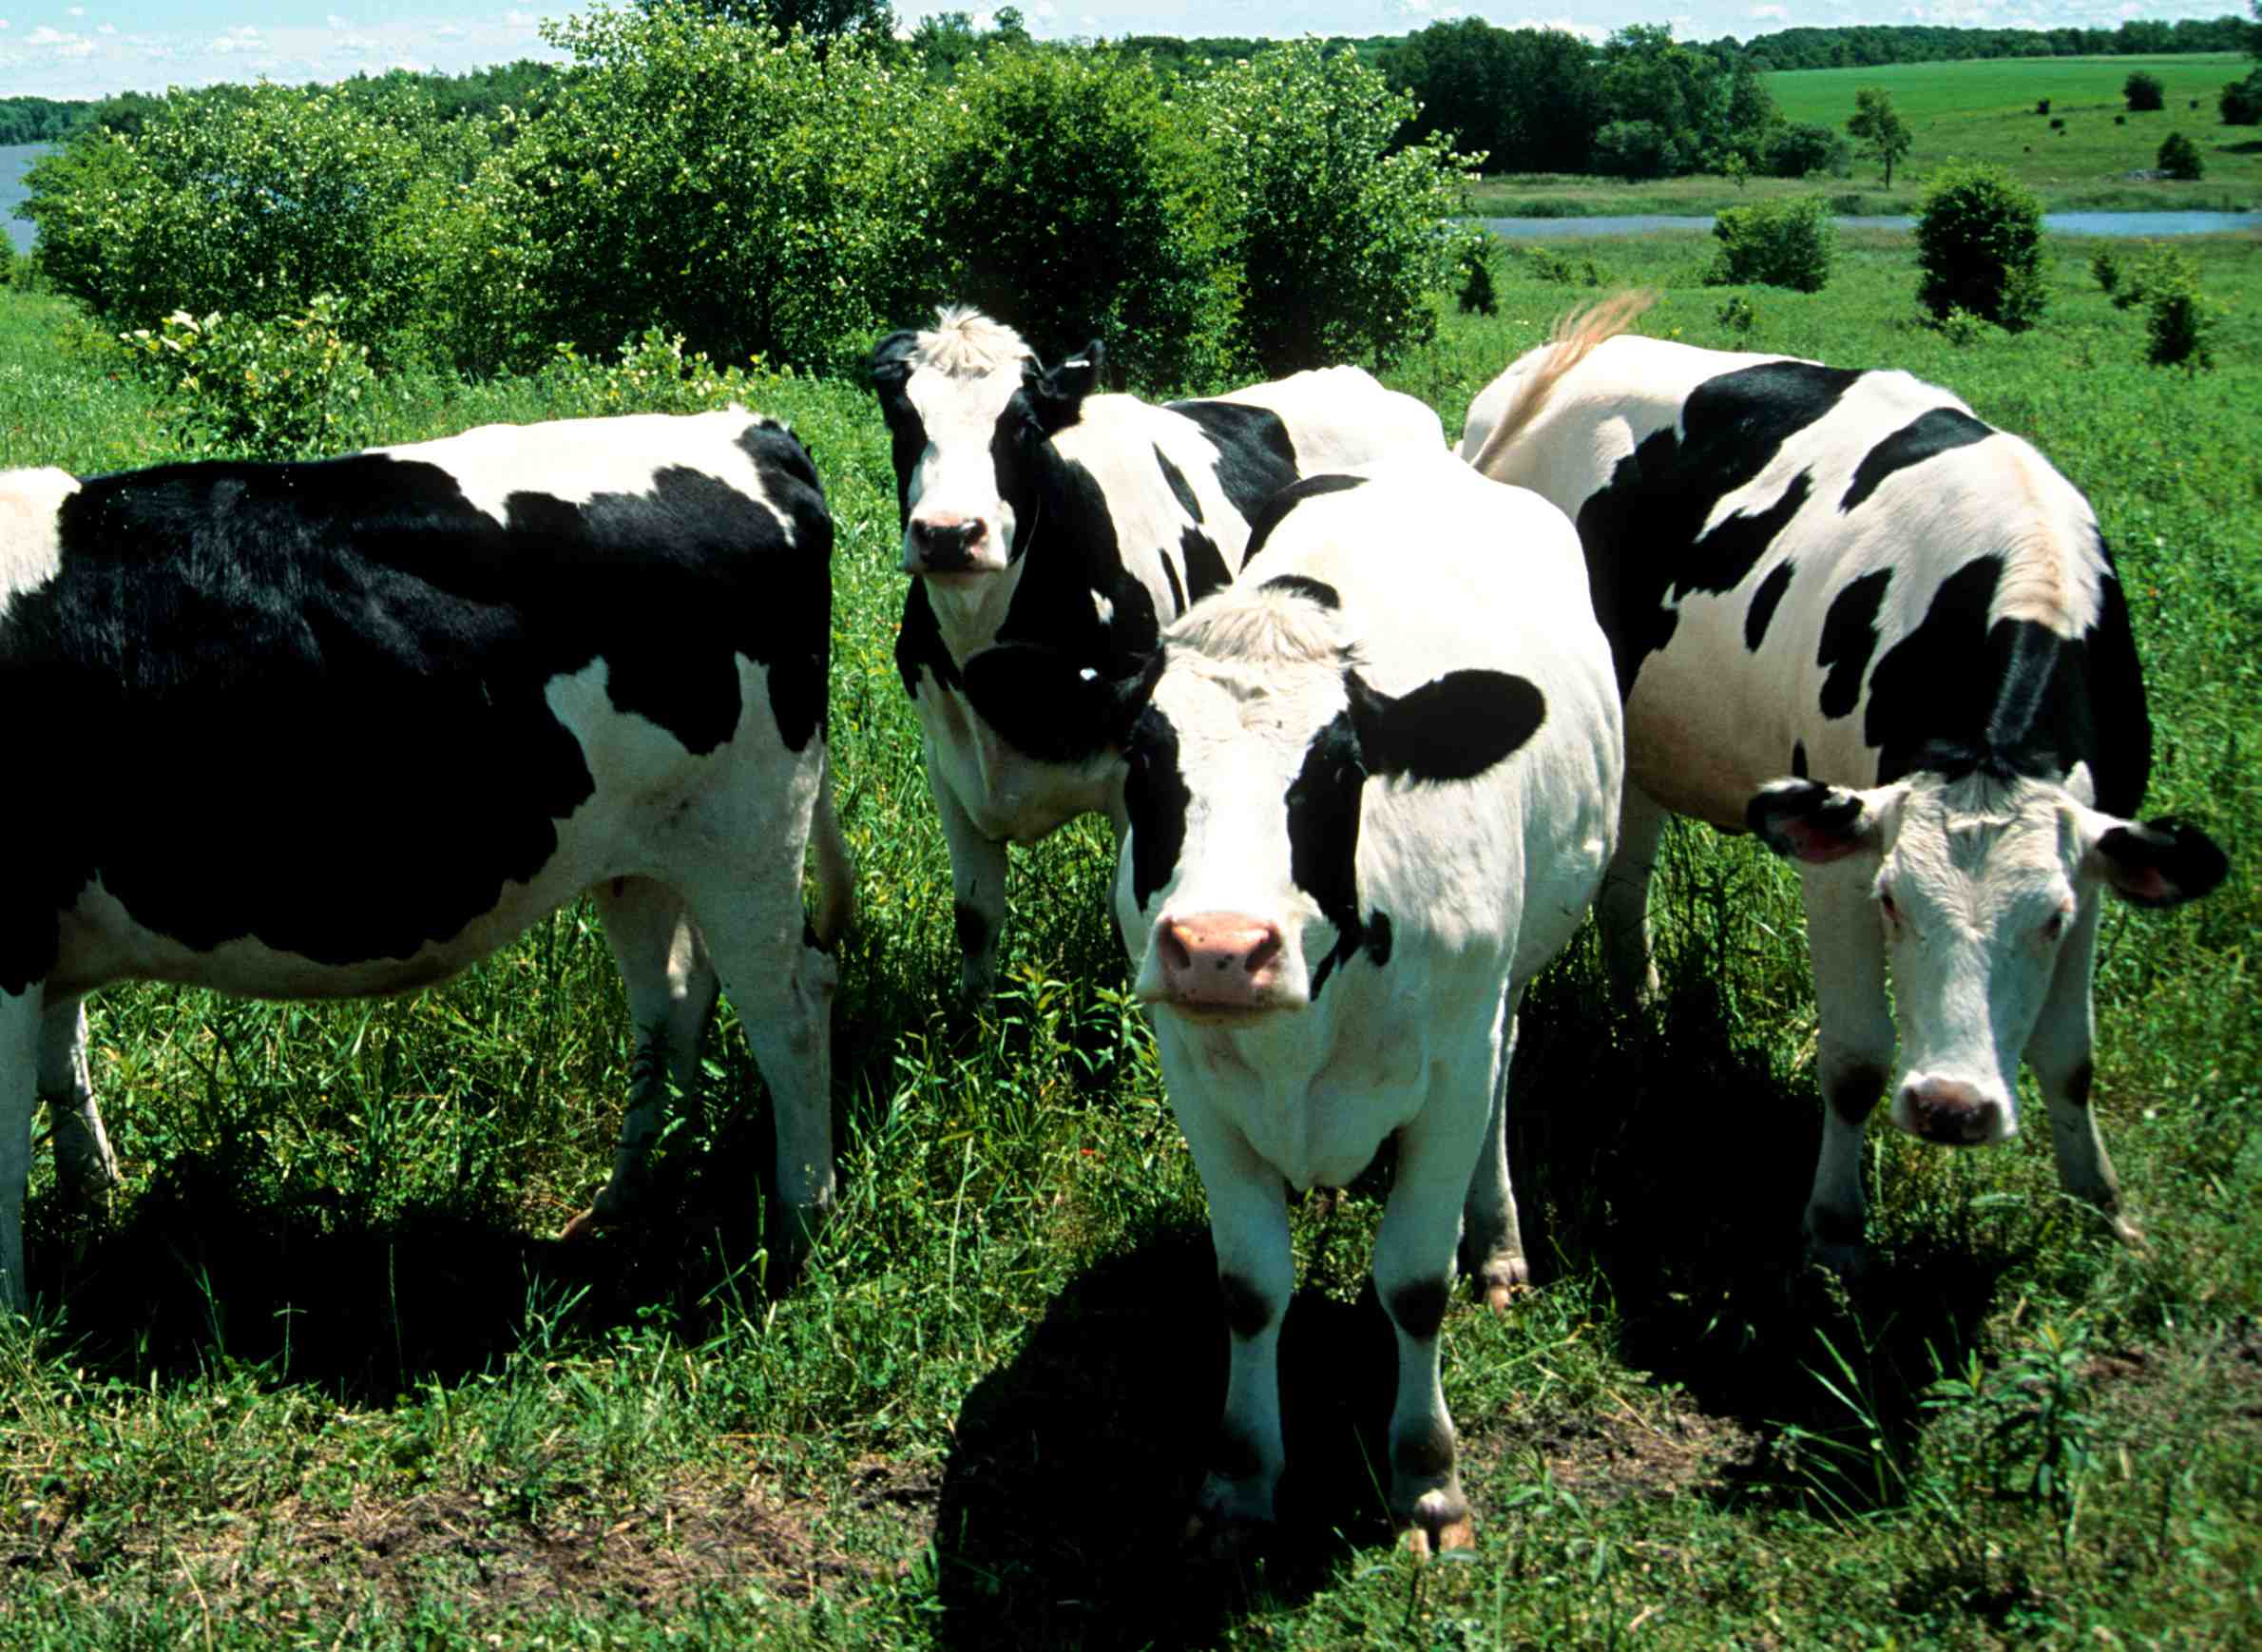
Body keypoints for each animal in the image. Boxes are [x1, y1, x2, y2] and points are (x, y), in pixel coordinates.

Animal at [0, 409, 852, 1313]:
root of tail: (747, 430)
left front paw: (13, 1316)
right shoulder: (49, 931)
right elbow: (63, 1070)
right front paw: (92, 1206)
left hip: (748, 835)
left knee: (793, 1009)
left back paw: (798, 1230)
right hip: (646, 851)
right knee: (674, 1000)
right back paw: (622, 1206)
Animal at [866, 306, 1446, 1002]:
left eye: (1023, 425)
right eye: (903, 417)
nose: (950, 534)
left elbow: (1132, 922)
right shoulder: (947, 762)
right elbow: (976, 917)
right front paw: (972, 1020)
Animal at [963, 451, 1623, 1554]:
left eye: (1341, 767)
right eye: (1145, 757)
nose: (1220, 953)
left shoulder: (1450, 1064)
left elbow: (1414, 1282)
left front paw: (1428, 1476)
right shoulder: (1196, 1078)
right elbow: (1248, 1287)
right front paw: (1241, 1475)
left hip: (1514, 975)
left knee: (1505, 1063)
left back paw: (1496, 1241)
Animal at [1461, 297, 2228, 1266]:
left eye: (2049, 920)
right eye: (1894, 902)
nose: (1952, 1108)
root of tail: (1563, 358)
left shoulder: (2093, 862)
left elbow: (2071, 1055)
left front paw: (2101, 1207)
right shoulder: (1843, 850)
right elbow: (1857, 1059)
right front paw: (1833, 1229)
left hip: (1641, 727)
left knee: (1625, 884)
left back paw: (1639, 1015)